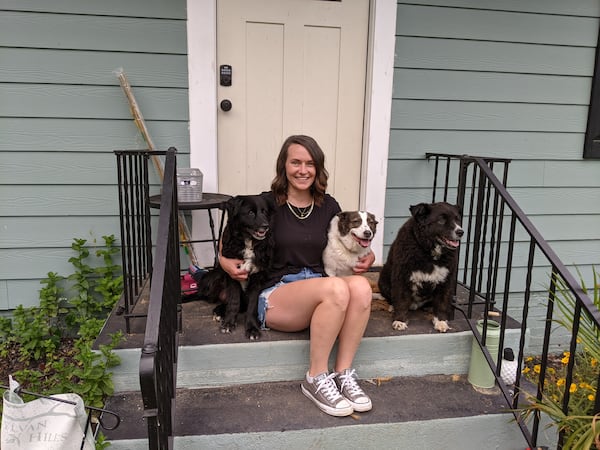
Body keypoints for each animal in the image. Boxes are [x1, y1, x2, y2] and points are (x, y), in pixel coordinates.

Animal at [198, 192, 276, 340]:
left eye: (265, 212)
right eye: (250, 212)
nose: (266, 226)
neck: (247, 242)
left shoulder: (258, 278)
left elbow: (252, 305)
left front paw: (252, 328)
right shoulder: (232, 274)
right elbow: (233, 301)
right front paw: (228, 323)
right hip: (212, 278)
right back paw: (219, 312)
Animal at [380, 202, 464, 332]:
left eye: (457, 219)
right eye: (441, 220)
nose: (460, 232)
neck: (428, 253)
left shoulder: (446, 280)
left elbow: (442, 302)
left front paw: (441, 321)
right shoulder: (402, 277)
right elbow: (401, 300)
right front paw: (400, 320)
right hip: (384, 279)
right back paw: (392, 306)